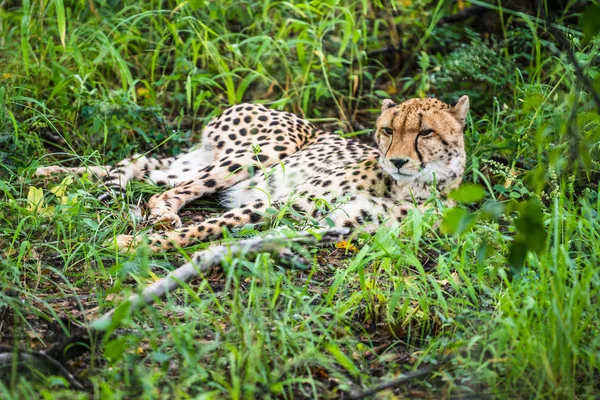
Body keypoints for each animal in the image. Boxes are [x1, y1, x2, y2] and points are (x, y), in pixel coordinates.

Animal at [35, 96, 472, 250]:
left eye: (424, 132)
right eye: (387, 131)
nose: (396, 160)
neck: (409, 188)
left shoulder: (325, 223)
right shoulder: (286, 203)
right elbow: (208, 226)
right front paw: (134, 245)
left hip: (191, 165)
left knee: (139, 168)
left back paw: (47, 174)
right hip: (266, 149)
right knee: (159, 186)